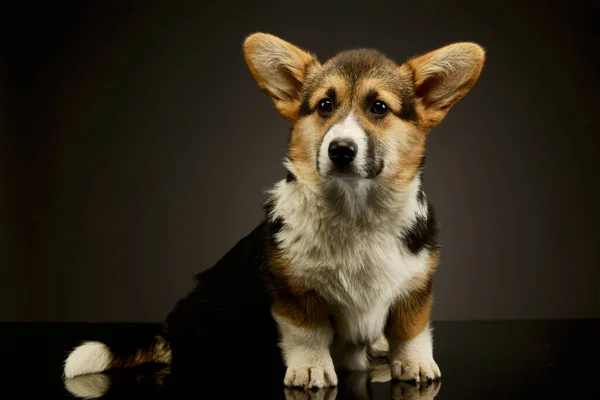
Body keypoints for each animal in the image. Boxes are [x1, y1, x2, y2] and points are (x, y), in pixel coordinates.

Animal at [62, 32, 482, 390]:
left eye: (379, 107)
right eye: (325, 106)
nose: (340, 150)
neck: (356, 212)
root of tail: (171, 328)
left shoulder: (414, 288)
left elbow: (410, 331)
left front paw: (414, 364)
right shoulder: (293, 291)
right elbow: (308, 333)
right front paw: (311, 369)